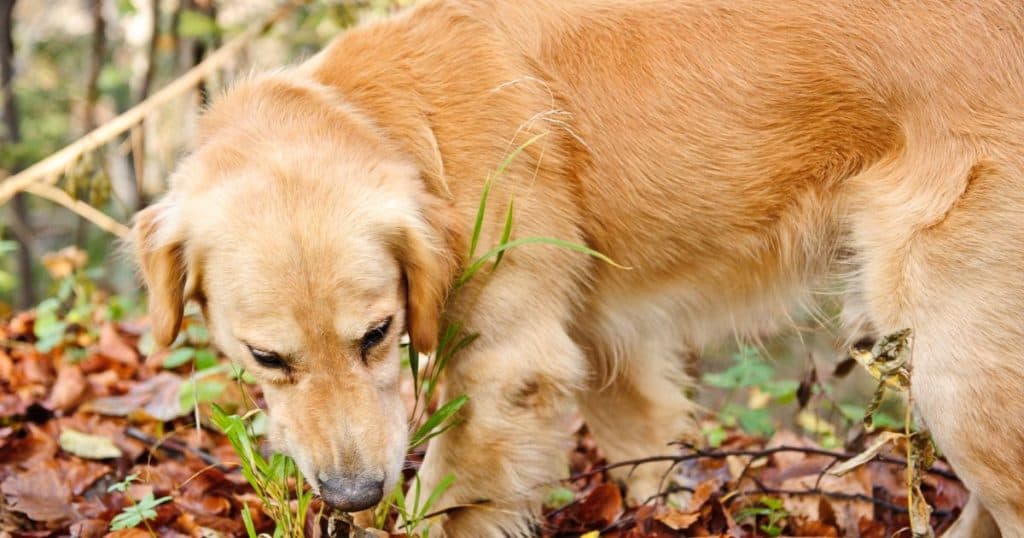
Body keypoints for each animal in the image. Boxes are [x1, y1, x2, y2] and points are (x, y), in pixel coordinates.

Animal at [132, 2, 1024, 532]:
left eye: (378, 335)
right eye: (267, 358)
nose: (352, 496)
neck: (401, 115)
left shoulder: (509, 372)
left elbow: (440, 501)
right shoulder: (605, 356)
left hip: (959, 373)